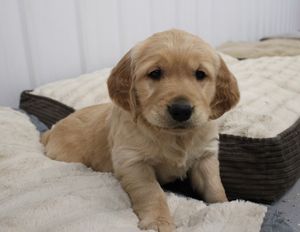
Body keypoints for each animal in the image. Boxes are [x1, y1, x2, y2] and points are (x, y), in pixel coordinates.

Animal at [41, 29, 239, 232]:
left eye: (200, 74)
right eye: (155, 73)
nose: (181, 110)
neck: (174, 136)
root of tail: (50, 131)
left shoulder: (205, 157)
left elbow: (214, 186)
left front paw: (224, 205)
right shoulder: (132, 162)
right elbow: (152, 192)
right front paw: (159, 222)